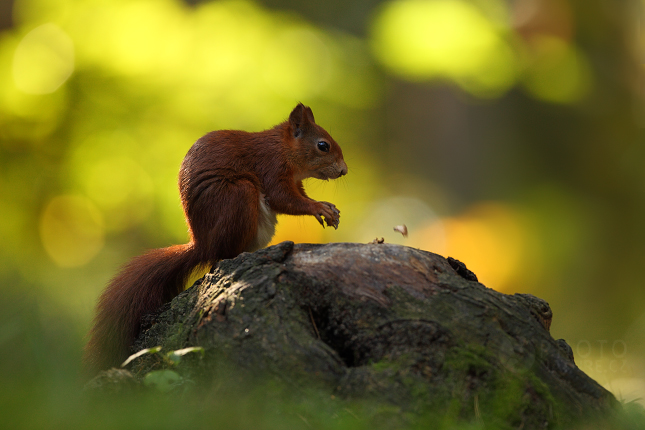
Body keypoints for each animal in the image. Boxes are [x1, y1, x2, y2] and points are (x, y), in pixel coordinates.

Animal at [87, 104, 348, 372]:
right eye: (323, 145)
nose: (343, 171)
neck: (284, 148)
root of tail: (202, 245)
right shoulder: (271, 166)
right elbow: (283, 198)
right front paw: (319, 207)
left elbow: (296, 196)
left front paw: (328, 208)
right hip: (238, 195)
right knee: (222, 255)